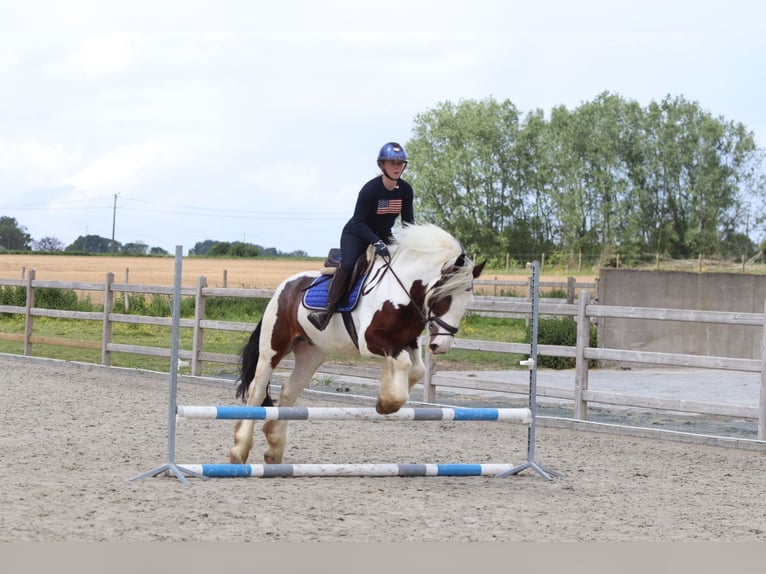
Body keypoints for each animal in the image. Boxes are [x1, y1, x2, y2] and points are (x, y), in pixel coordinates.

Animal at [228, 223, 486, 464]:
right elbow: (403, 363)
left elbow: (417, 369)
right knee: (257, 390)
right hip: (273, 347)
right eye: (444, 297)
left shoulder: (408, 341)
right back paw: (239, 451)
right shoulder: (370, 341)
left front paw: (388, 395)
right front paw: (387, 404)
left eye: (468, 301)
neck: (401, 292)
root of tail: (284, 287)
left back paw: (273, 447)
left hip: (311, 353)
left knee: (289, 391)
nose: (441, 345)